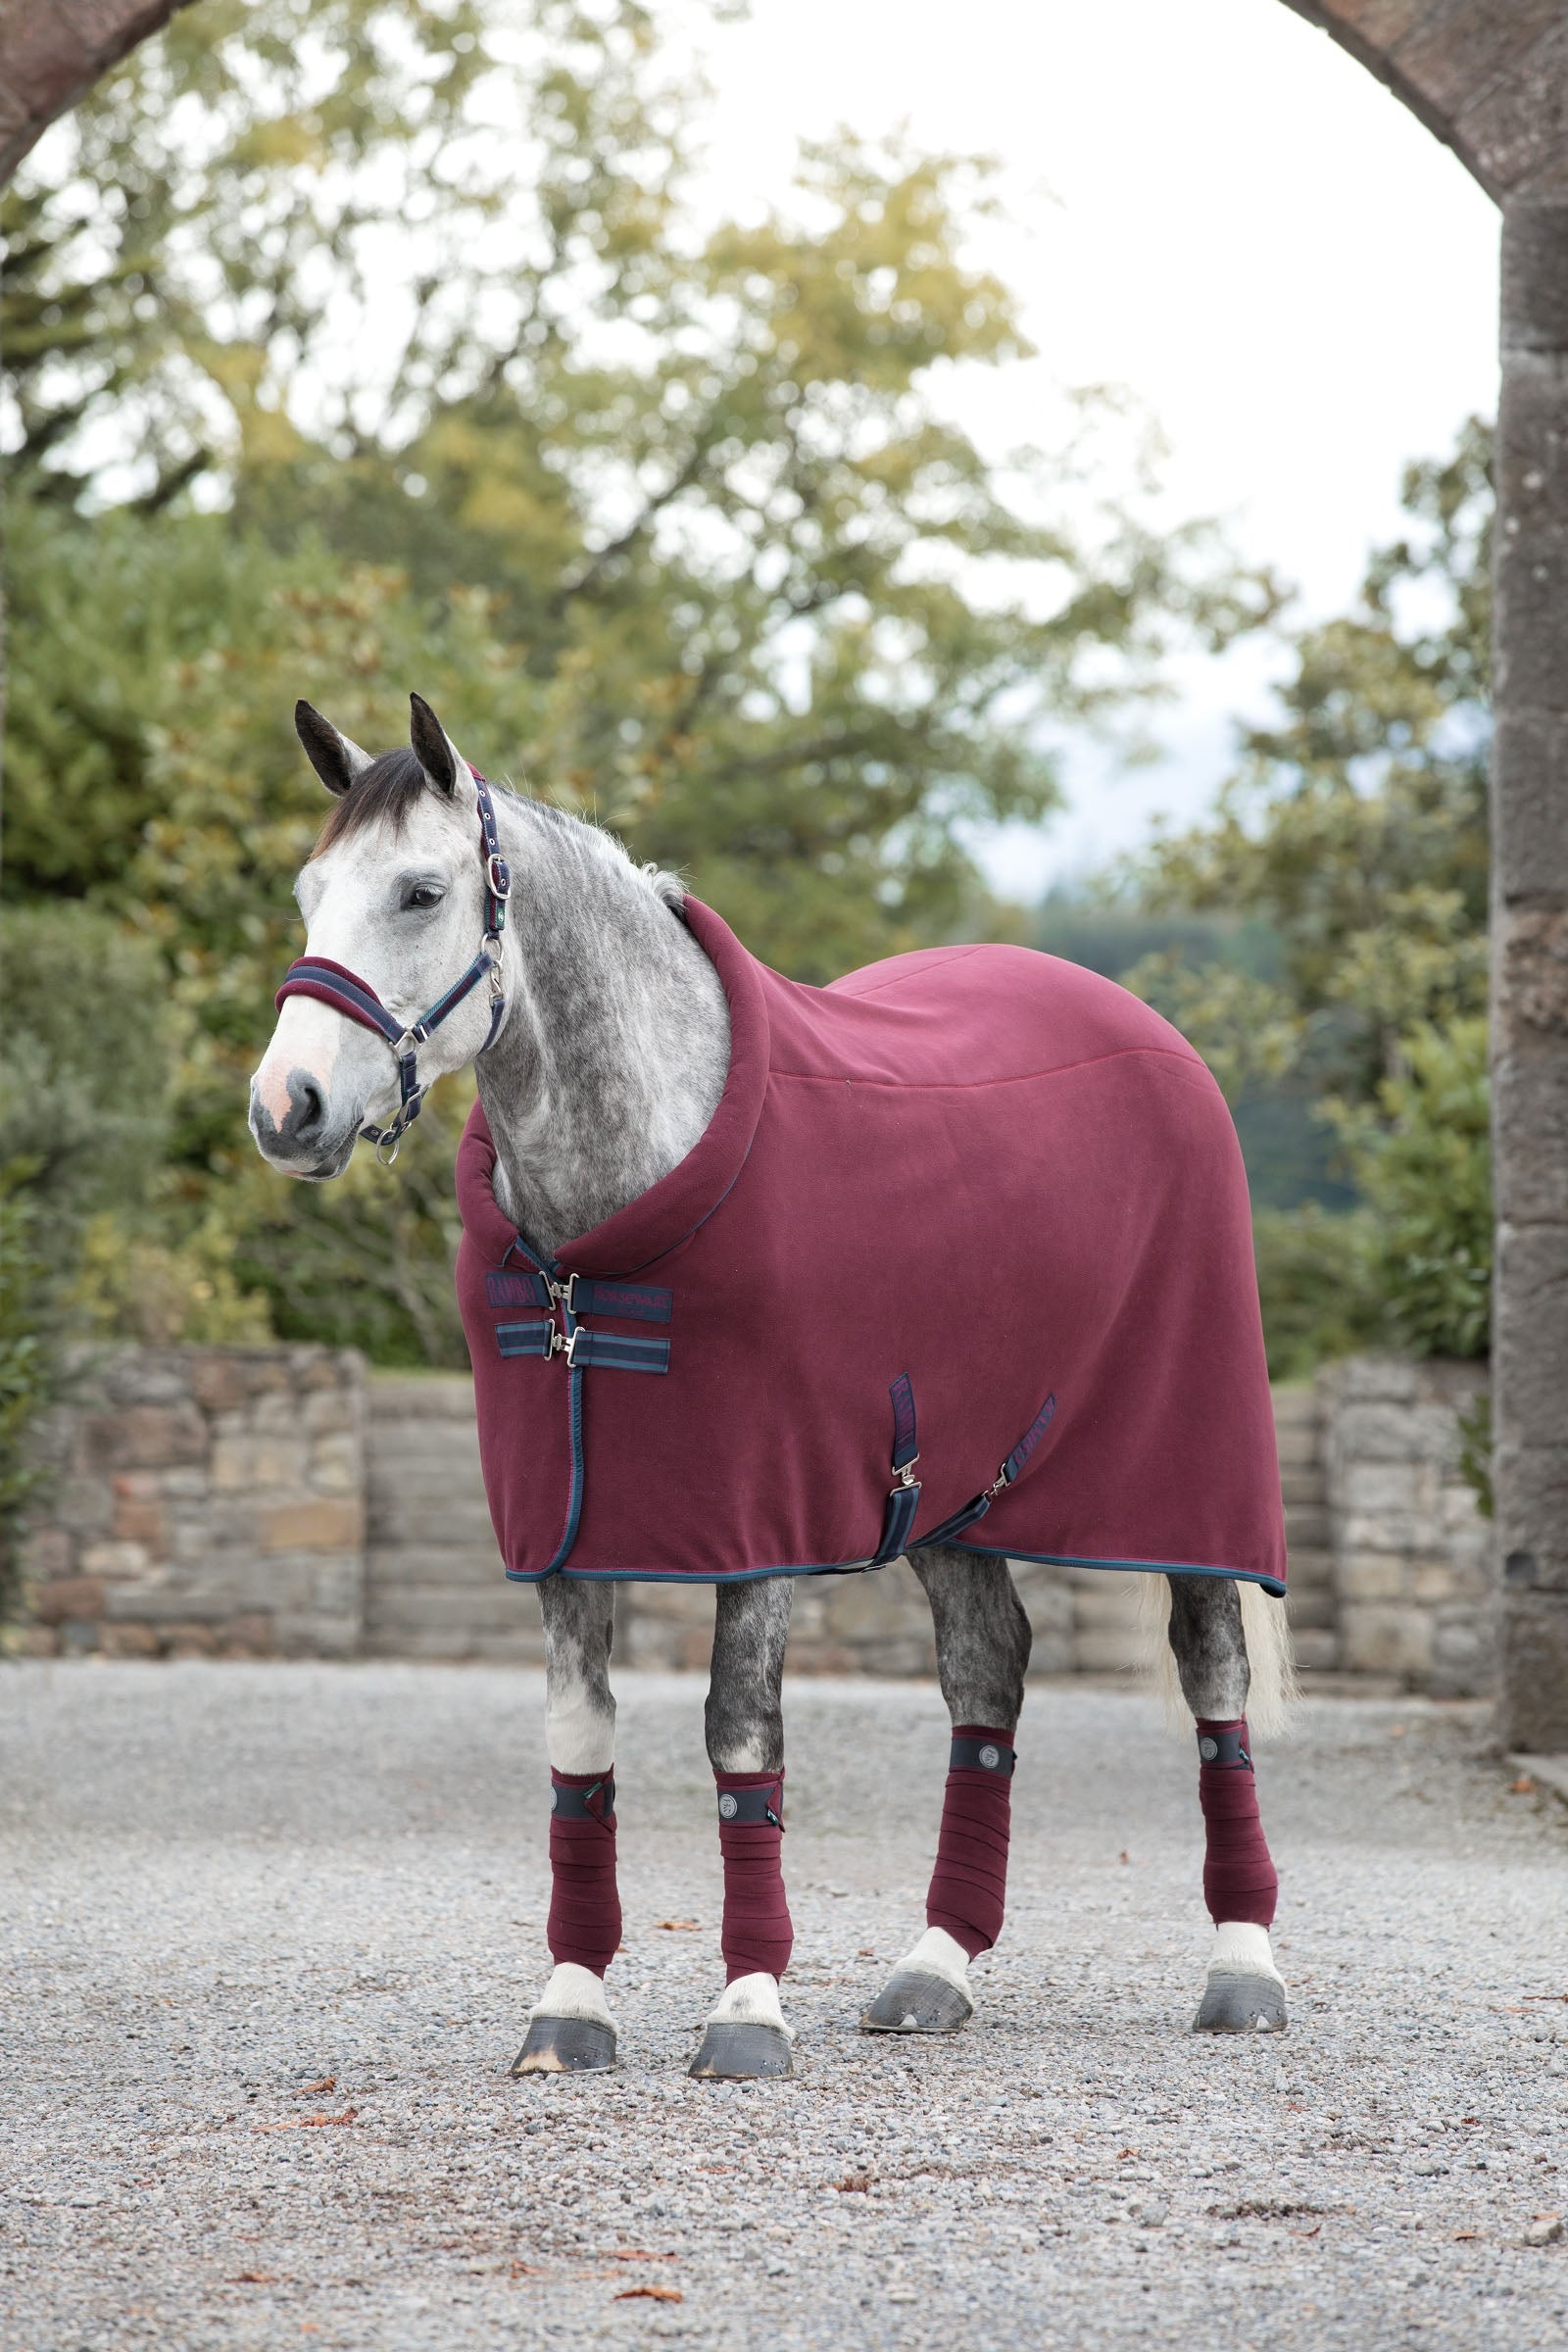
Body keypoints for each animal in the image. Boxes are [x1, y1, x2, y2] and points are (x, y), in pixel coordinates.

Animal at [250, 691, 1293, 2082]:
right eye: (310, 892)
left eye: (421, 893)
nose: (285, 1106)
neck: (607, 1228)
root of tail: (1149, 1034)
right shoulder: (563, 1530)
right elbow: (579, 1750)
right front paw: (570, 2008)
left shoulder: (759, 1522)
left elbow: (741, 1743)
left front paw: (746, 2010)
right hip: (949, 1489)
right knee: (988, 1672)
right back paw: (935, 1967)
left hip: (1184, 1481)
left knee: (1212, 1676)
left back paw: (1243, 1970)